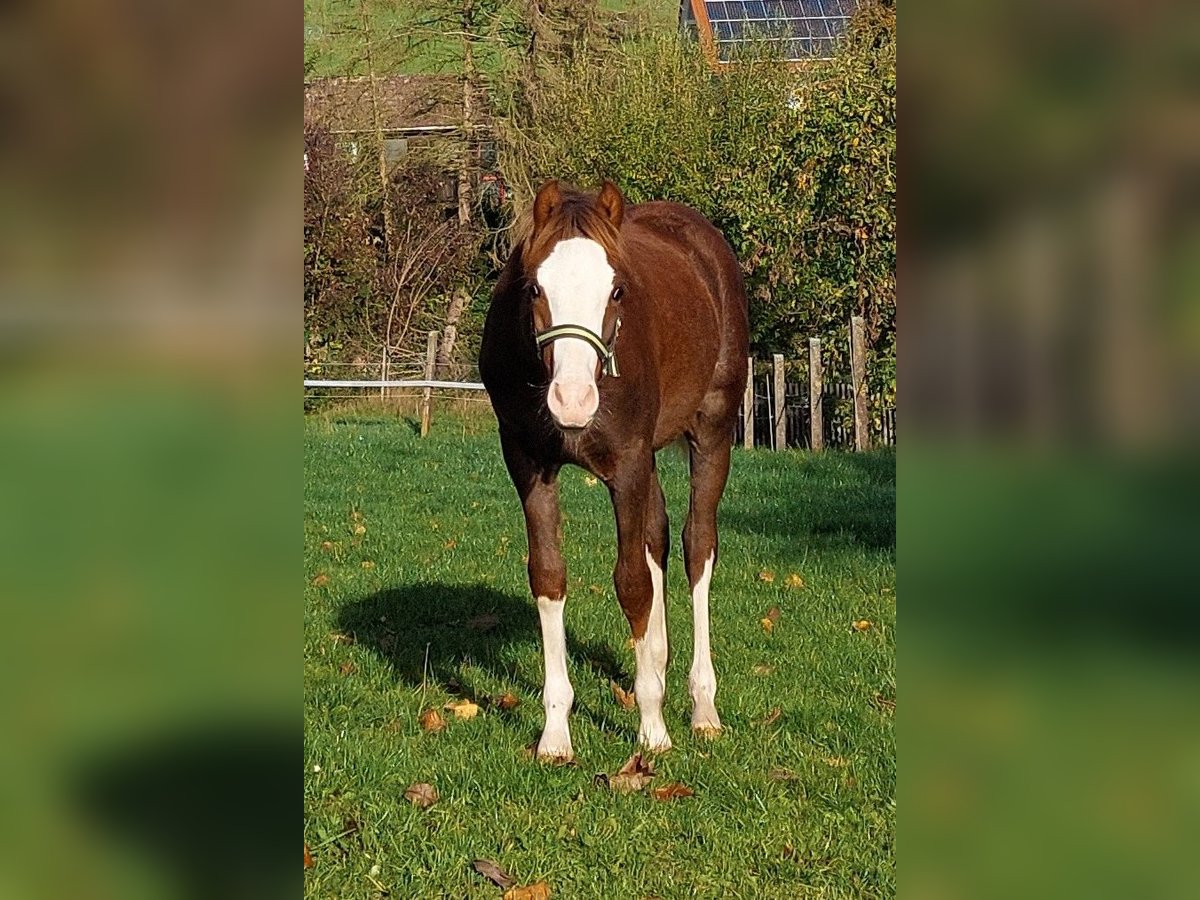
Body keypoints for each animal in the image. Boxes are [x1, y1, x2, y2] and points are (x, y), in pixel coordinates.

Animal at [480, 180, 744, 758]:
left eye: (618, 291)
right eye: (534, 288)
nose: (572, 400)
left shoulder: (626, 464)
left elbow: (632, 583)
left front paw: (652, 729)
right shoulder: (529, 463)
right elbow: (550, 576)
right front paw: (555, 734)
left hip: (713, 432)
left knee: (697, 546)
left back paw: (702, 706)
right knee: (658, 536)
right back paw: (660, 668)